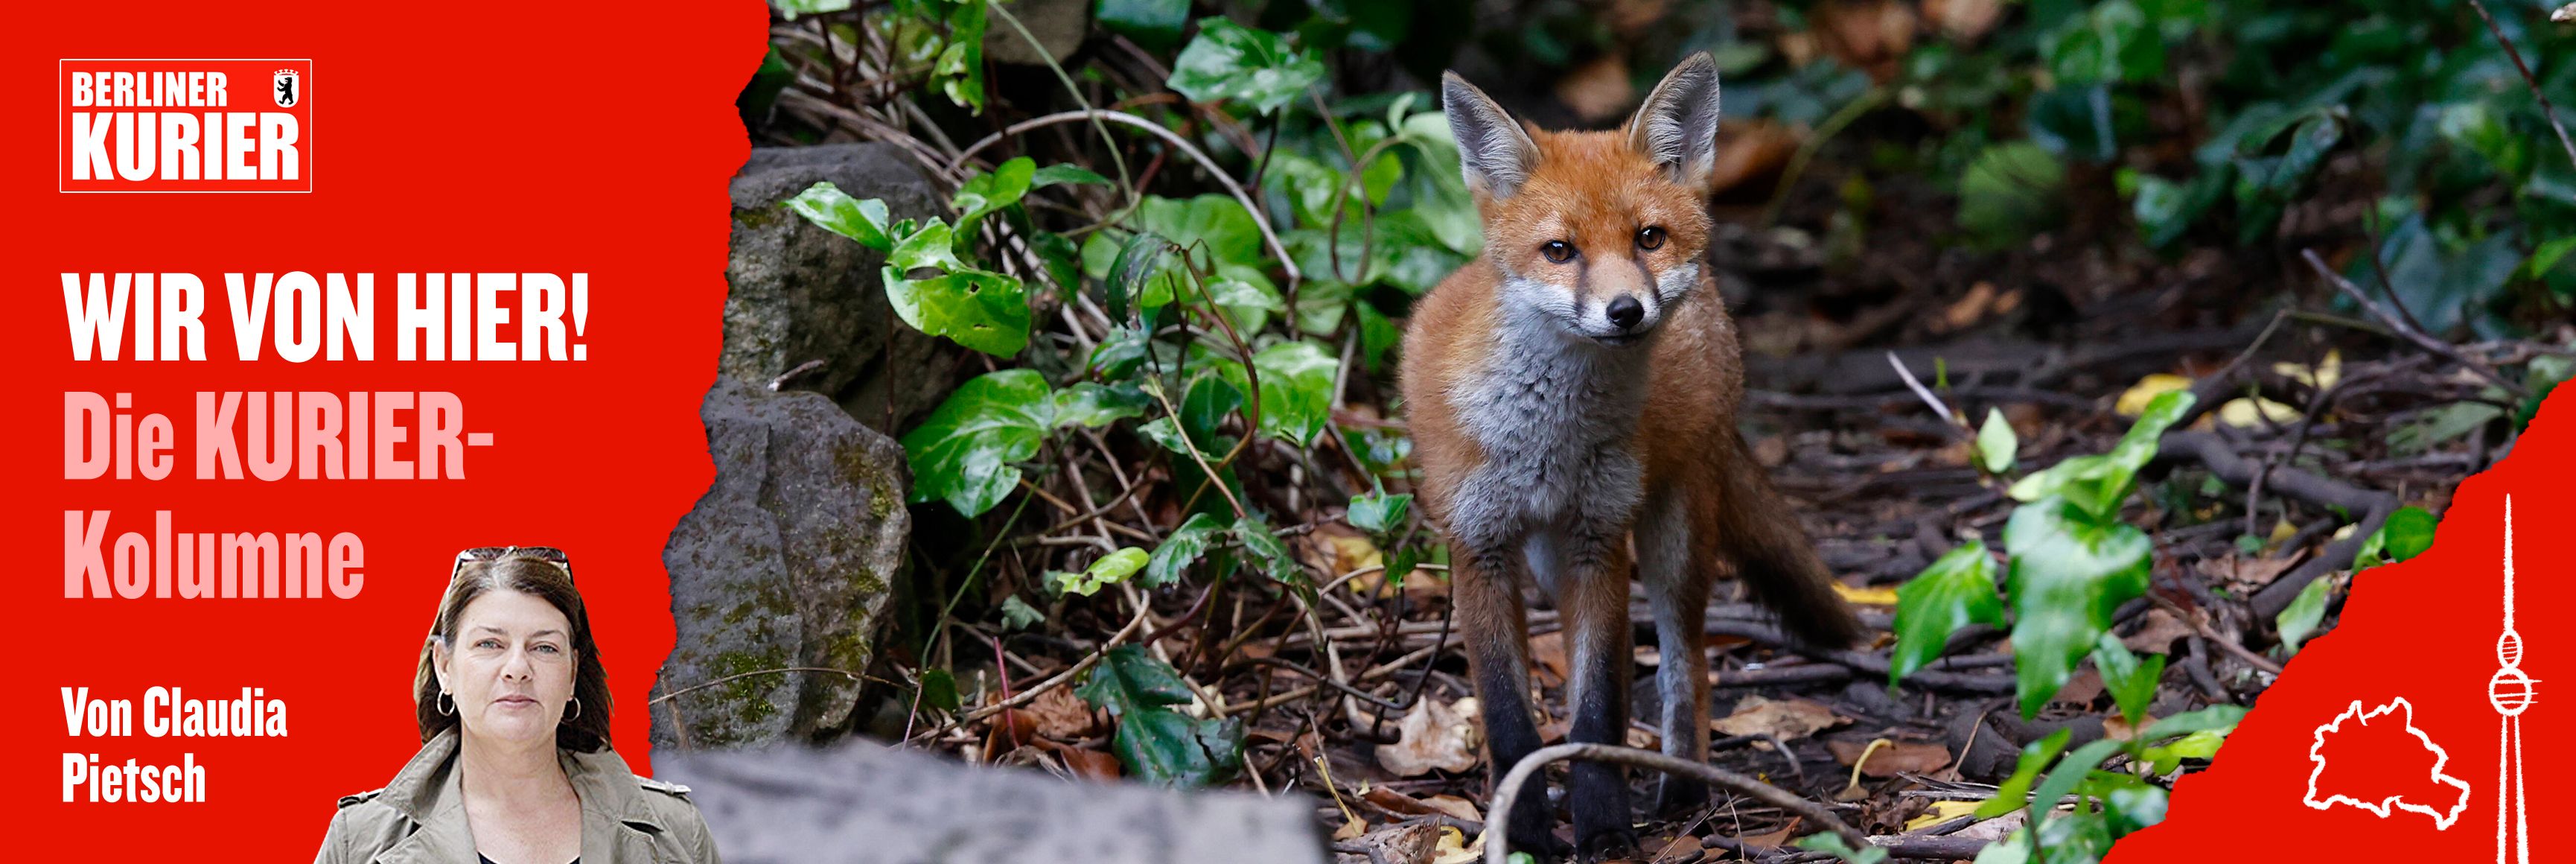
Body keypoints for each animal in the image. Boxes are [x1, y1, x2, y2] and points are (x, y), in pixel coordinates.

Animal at [1397, 54, 1864, 860]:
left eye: (1648, 238)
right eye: (1559, 250)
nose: (1625, 312)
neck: (1545, 439)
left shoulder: (1597, 537)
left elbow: (1594, 710)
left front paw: (1606, 827)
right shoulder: (1479, 544)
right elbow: (1508, 714)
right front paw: (1523, 829)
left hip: (1672, 536)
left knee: (1686, 666)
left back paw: (1683, 793)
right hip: (1556, 558)